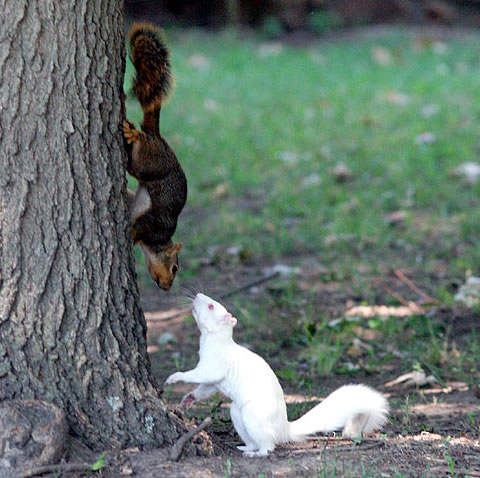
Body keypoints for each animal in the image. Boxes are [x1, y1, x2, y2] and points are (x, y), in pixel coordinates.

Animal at [165, 294, 390, 458]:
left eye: (211, 306)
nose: (196, 295)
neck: (214, 339)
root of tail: (283, 429)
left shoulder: (214, 365)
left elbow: (200, 375)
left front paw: (174, 377)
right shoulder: (215, 378)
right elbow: (206, 388)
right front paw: (188, 399)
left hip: (253, 416)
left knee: (268, 445)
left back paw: (257, 454)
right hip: (237, 414)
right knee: (255, 441)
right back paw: (246, 448)